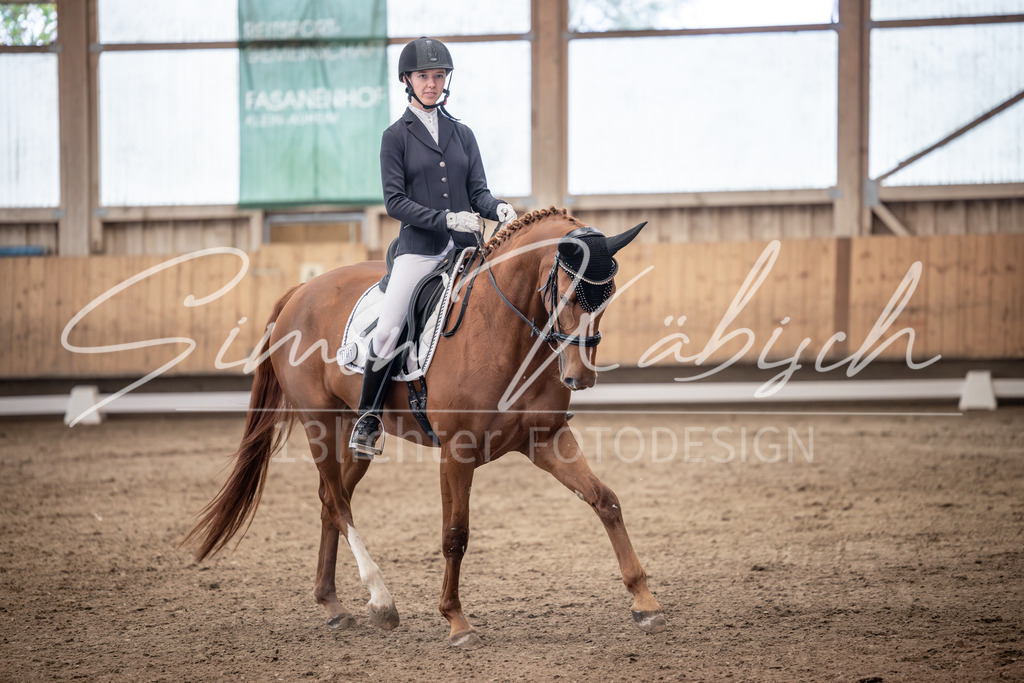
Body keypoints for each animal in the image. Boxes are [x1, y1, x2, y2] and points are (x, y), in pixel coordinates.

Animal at [183, 207, 667, 649]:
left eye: (608, 297)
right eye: (567, 295)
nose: (580, 377)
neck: (503, 329)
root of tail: (302, 290)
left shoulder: (547, 440)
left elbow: (606, 500)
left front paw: (644, 602)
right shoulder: (457, 452)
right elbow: (455, 535)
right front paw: (456, 621)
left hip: (357, 434)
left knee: (330, 500)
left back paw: (334, 605)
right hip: (318, 421)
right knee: (337, 503)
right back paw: (381, 601)